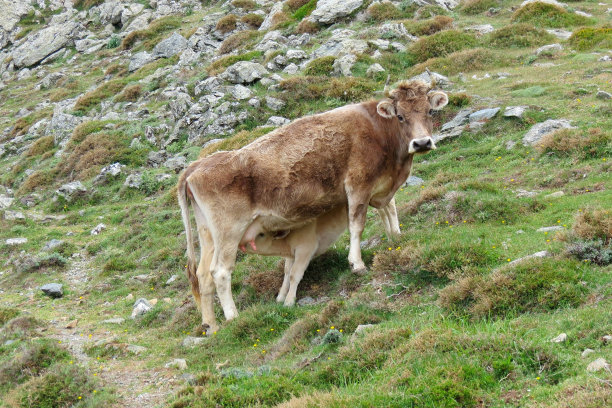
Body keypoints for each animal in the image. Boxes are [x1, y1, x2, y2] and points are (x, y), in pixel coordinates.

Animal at [179, 79, 448, 332]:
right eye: (400, 116)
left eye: (429, 111)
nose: (422, 143)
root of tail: (196, 166)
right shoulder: (358, 184)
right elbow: (357, 224)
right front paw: (357, 264)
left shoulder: (380, 185)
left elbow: (389, 209)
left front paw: (396, 238)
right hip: (229, 231)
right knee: (220, 272)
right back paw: (234, 317)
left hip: (208, 234)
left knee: (203, 275)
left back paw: (211, 326)